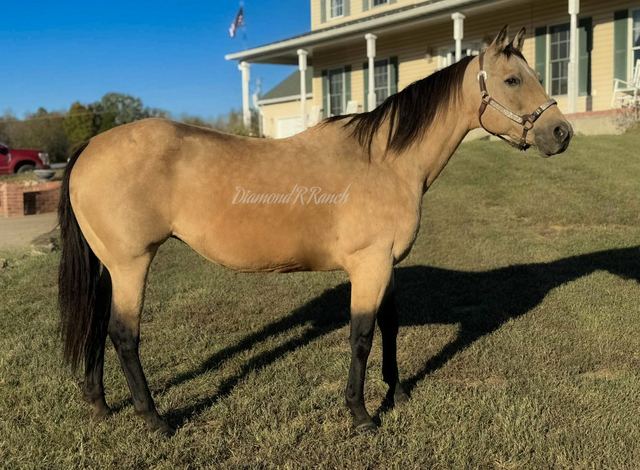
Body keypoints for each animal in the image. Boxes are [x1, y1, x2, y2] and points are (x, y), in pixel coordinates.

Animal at [58, 26, 573, 435]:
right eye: (512, 79)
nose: (561, 133)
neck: (385, 161)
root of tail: (90, 147)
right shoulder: (368, 265)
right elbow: (362, 335)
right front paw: (361, 416)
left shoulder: (386, 265)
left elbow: (390, 325)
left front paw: (398, 393)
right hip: (132, 264)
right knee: (124, 335)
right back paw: (155, 420)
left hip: (110, 266)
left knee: (98, 325)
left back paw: (100, 405)